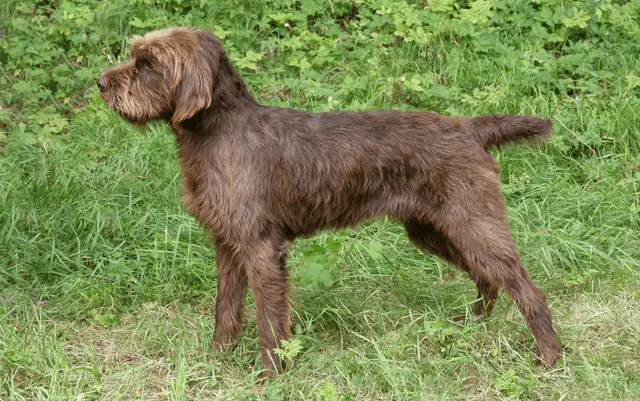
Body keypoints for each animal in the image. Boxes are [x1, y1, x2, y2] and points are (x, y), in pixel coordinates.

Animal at [99, 26, 560, 374]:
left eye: (148, 65)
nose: (101, 83)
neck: (219, 131)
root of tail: (468, 127)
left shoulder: (261, 249)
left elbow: (270, 322)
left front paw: (270, 375)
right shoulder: (228, 245)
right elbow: (225, 309)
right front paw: (217, 358)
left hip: (471, 223)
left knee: (528, 290)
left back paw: (549, 358)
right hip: (435, 230)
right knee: (487, 277)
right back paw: (472, 325)